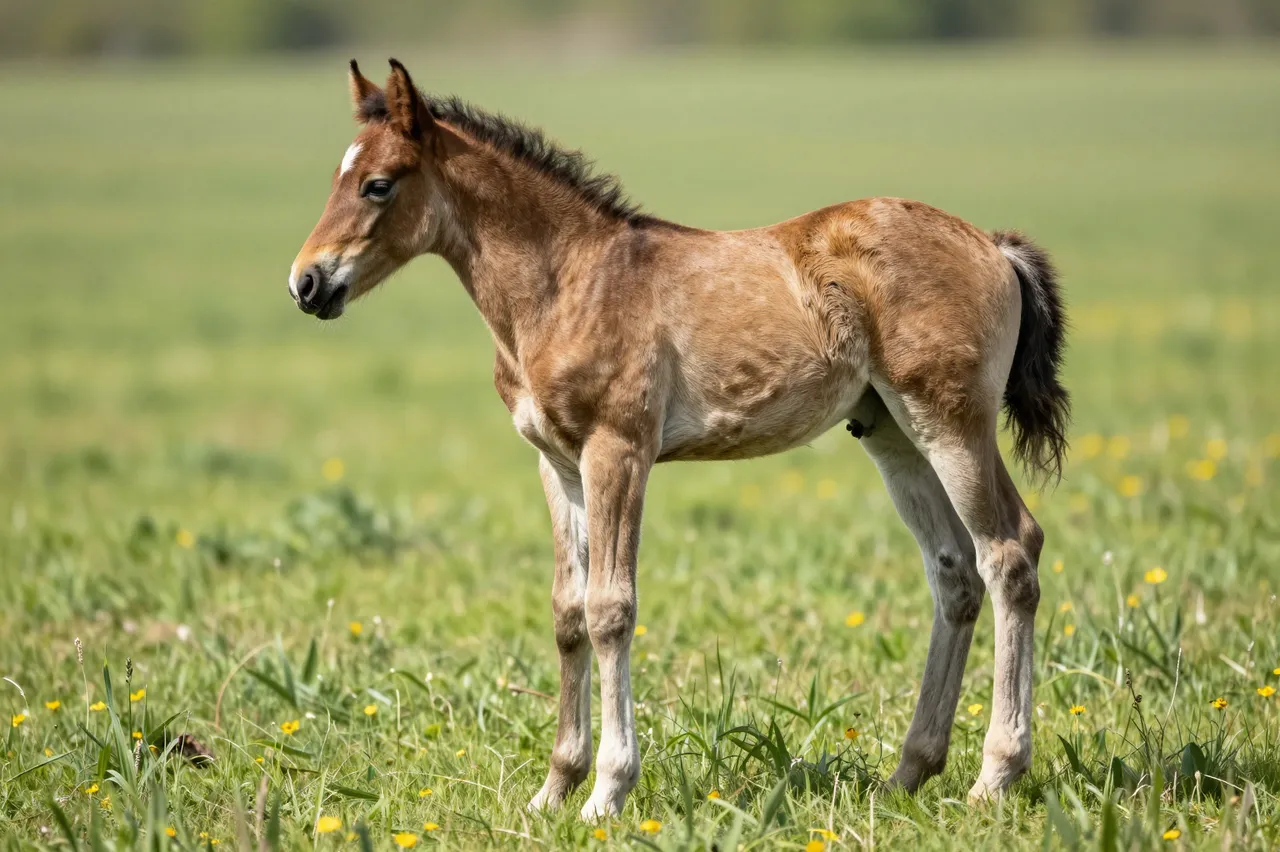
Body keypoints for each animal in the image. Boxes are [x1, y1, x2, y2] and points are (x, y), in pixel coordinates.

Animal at [288, 59, 1069, 820]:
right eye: (335, 177)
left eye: (378, 184)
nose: (306, 283)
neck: (568, 282)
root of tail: (994, 246)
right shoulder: (556, 465)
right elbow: (567, 611)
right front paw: (553, 789)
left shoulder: (618, 450)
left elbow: (610, 609)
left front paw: (606, 792)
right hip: (892, 434)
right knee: (954, 572)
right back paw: (907, 775)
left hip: (950, 421)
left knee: (1010, 554)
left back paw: (994, 777)